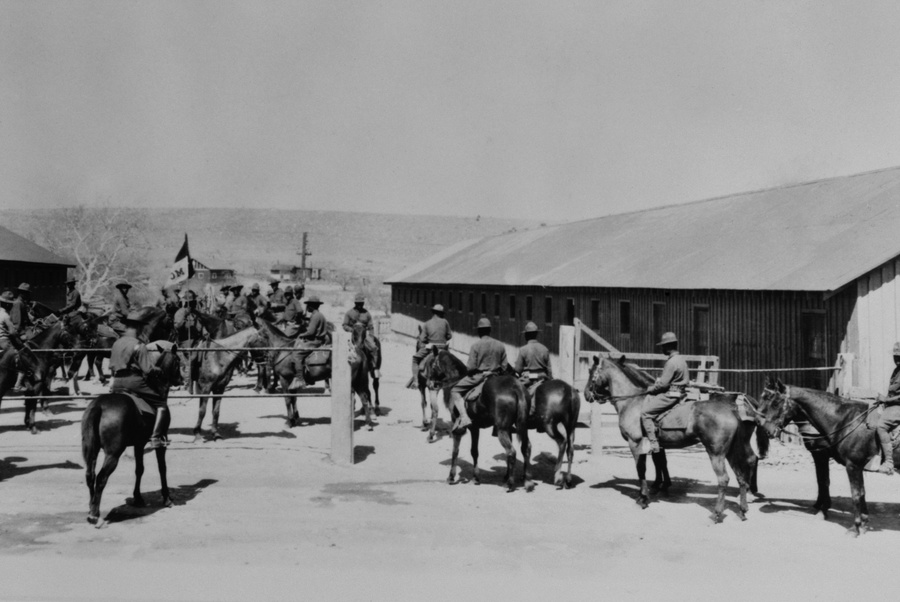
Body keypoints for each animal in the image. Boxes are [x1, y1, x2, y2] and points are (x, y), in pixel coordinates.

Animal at [79, 340, 183, 524]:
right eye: (178, 361)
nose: (182, 379)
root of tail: (99, 406)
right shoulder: (161, 440)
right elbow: (162, 468)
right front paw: (167, 498)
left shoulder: (139, 444)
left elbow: (139, 469)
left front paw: (138, 498)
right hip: (113, 454)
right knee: (101, 478)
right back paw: (94, 514)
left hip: (91, 449)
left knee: (90, 475)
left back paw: (91, 507)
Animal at [430, 346, 536, 492]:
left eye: (432, 364)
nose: (430, 382)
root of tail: (516, 388)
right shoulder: (475, 428)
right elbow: (474, 451)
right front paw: (476, 477)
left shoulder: (459, 428)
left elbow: (456, 451)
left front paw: (451, 477)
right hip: (519, 427)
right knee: (526, 448)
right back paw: (526, 481)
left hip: (502, 429)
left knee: (511, 452)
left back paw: (509, 483)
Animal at [584, 356, 760, 520]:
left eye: (591, 372)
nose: (586, 394)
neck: (633, 401)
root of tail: (733, 410)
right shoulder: (657, 445)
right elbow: (660, 463)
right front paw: (659, 486)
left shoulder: (635, 443)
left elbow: (641, 469)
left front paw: (643, 498)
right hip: (732, 451)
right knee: (742, 472)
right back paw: (743, 508)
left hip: (716, 453)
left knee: (724, 478)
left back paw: (717, 513)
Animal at [760, 378, 884, 536]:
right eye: (763, 398)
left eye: (775, 403)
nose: (765, 430)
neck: (846, 421)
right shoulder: (832, 458)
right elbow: (831, 483)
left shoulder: (829, 457)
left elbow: (828, 483)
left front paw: (824, 510)